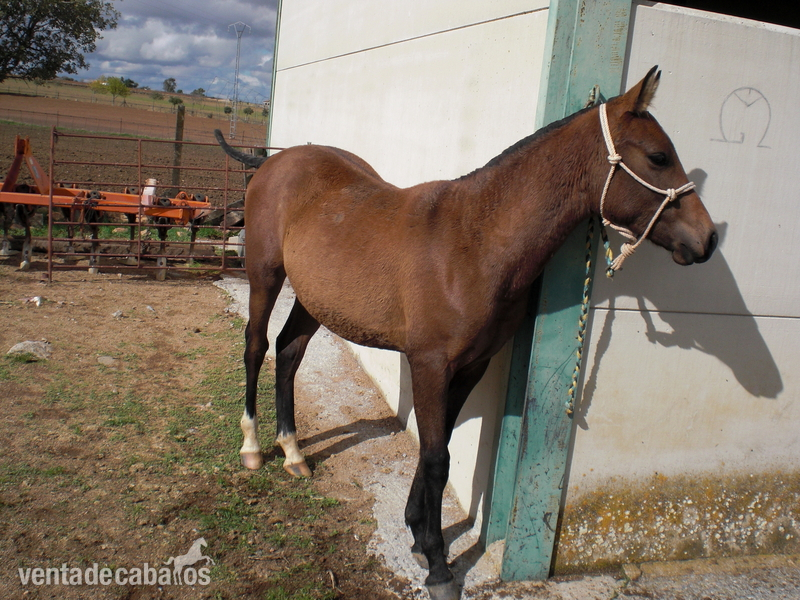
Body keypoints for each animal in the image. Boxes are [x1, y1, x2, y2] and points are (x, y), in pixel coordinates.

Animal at [215, 67, 717, 600]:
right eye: (658, 156)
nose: (707, 239)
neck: (475, 242)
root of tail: (277, 158)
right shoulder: (430, 364)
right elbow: (437, 459)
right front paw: (438, 564)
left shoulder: (471, 366)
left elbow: (439, 448)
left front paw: (417, 532)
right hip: (265, 276)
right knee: (256, 347)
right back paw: (252, 447)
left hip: (316, 300)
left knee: (289, 352)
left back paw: (293, 450)